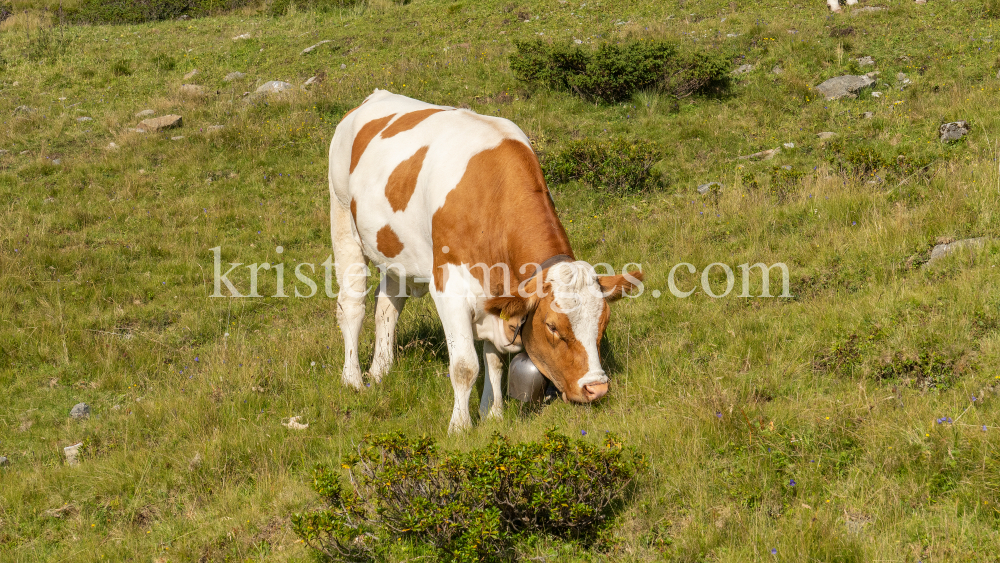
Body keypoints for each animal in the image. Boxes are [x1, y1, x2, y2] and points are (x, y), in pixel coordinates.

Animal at [328, 90, 640, 434]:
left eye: (604, 322)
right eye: (553, 327)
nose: (596, 388)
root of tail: (375, 96)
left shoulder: (498, 295)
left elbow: (495, 361)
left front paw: (493, 413)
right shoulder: (449, 289)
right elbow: (466, 366)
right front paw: (460, 427)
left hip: (395, 249)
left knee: (388, 304)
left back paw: (380, 371)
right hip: (342, 216)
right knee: (352, 306)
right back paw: (353, 379)